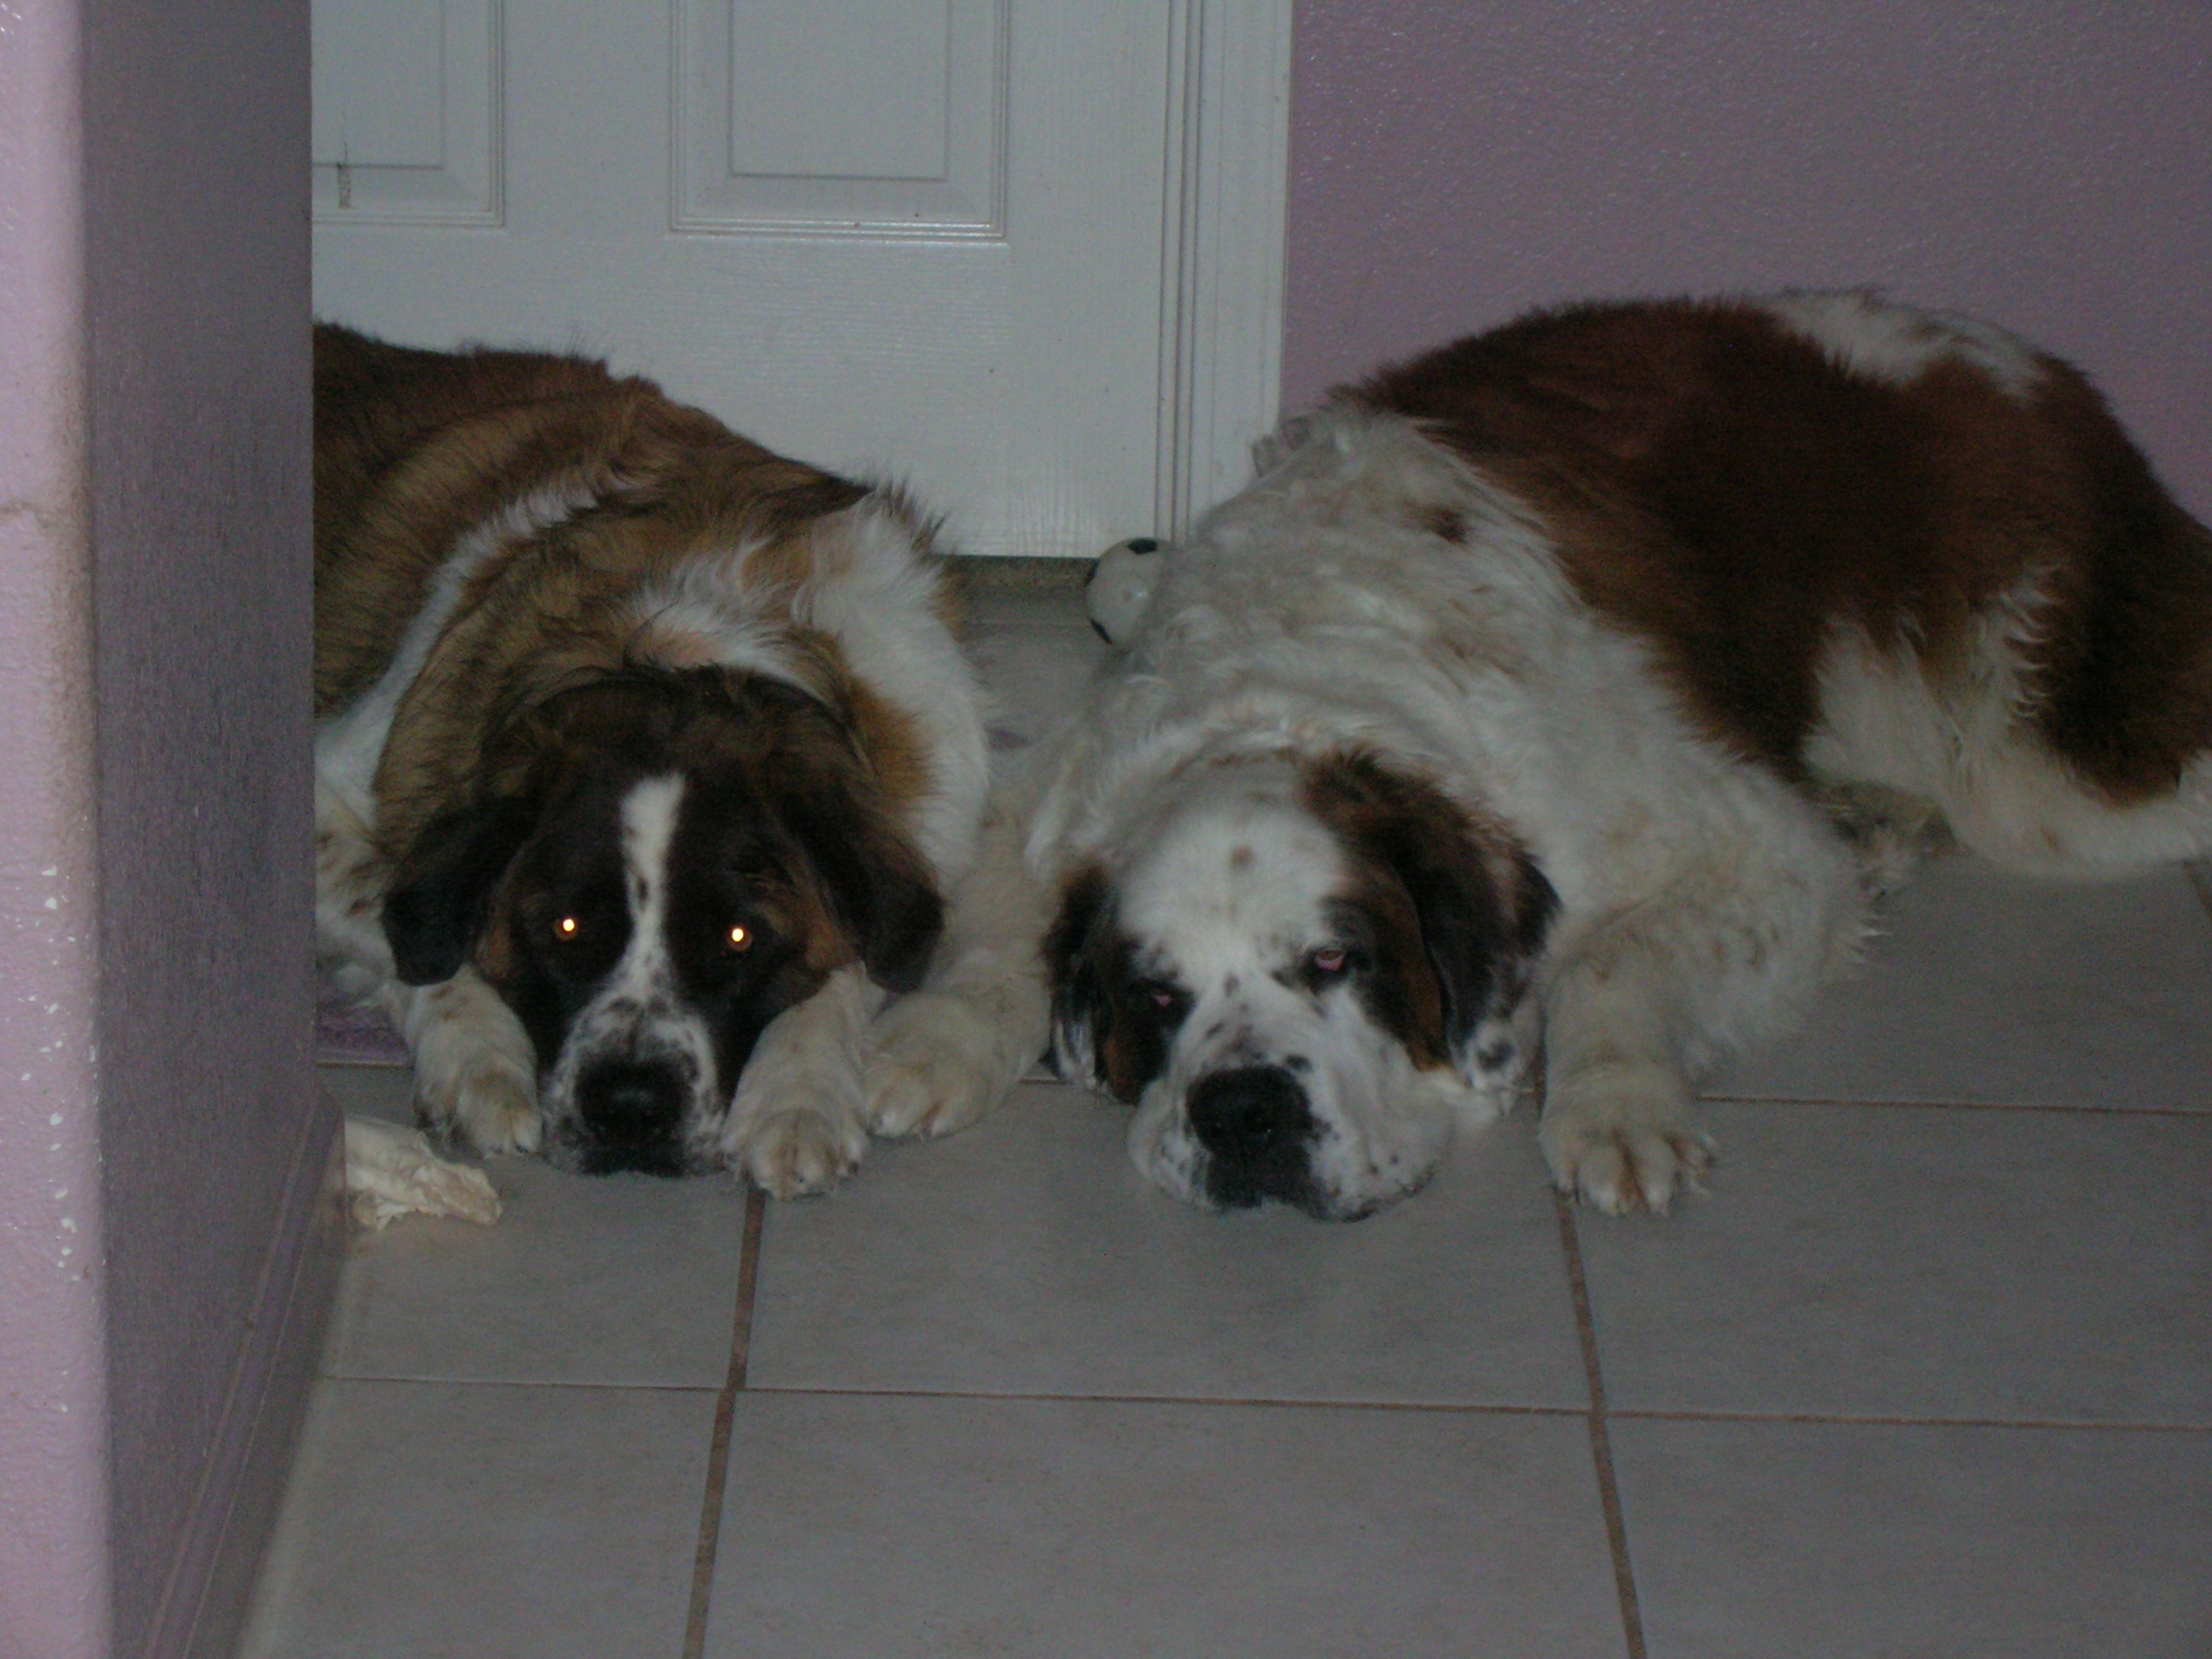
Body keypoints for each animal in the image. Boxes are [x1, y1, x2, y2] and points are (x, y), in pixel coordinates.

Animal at [313, 325, 990, 1193]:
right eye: (564, 926)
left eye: (737, 938)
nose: (631, 1105)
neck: (678, 653)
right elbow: (409, 925)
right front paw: (480, 1058)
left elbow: (852, 955)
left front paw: (799, 1093)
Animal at [886, 291, 2212, 1220]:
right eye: (1155, 995)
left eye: (1337, 962)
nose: (1243, 1111)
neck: (1303, 688)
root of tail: (2037, 372)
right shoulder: (1054, 795)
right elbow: (1002, 928)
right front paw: (937, 1038)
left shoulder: (1745, 851)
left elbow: (1609, 963)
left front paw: (1615, 1106)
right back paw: (1877, 816)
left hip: (2050, 765)